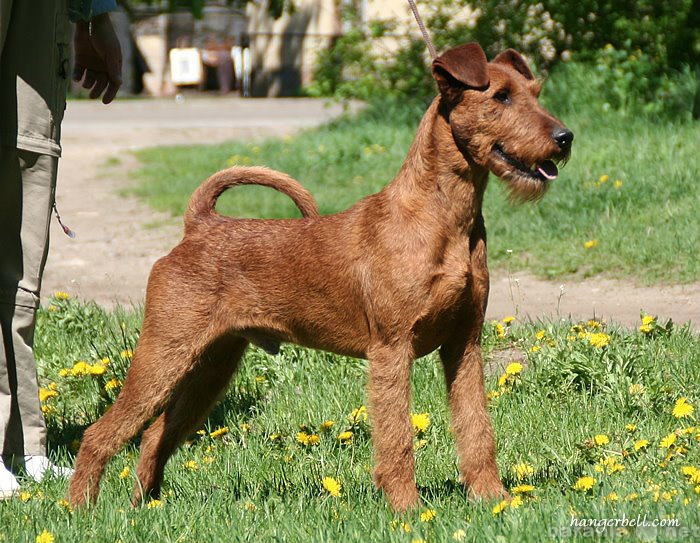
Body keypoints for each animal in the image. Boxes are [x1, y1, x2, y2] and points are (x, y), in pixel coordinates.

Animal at [69, 41, 576, 510]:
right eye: (501, 96)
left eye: (535, 92)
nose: (565, 136)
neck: (444, 217)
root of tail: (199, 225)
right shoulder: (392, 349)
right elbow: (397, 439)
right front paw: (408, 510)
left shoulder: (464, 346)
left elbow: (477, 429)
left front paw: (494, 500)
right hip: (164, 352)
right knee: (101, 432)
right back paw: (80, 510)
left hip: (211, 364)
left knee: (155, 433)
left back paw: (145, 505)